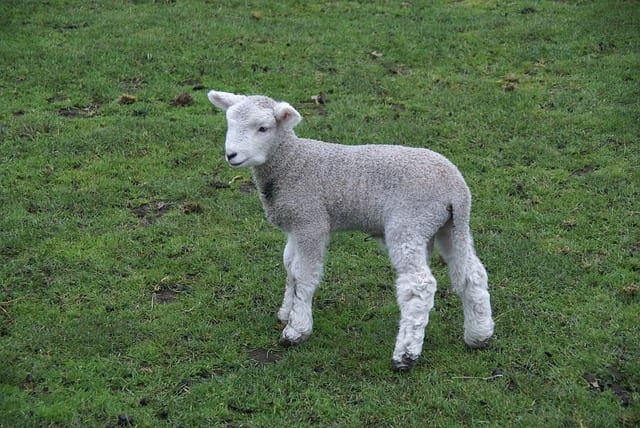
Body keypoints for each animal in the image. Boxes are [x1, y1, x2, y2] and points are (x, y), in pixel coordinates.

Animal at [208, 90, 492, 372]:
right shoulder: (295, 225)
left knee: (419, 285)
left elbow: (304, 274)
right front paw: (286, 311)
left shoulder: (311, 221)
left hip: (410, 222)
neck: (291, 162)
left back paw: (405, 355)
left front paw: (296, 329)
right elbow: (290, 267)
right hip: (449, 226)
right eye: (229, 122)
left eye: (263, 128)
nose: (231, 155)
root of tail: (456, 189)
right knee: (473, 274)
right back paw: (479, 335)